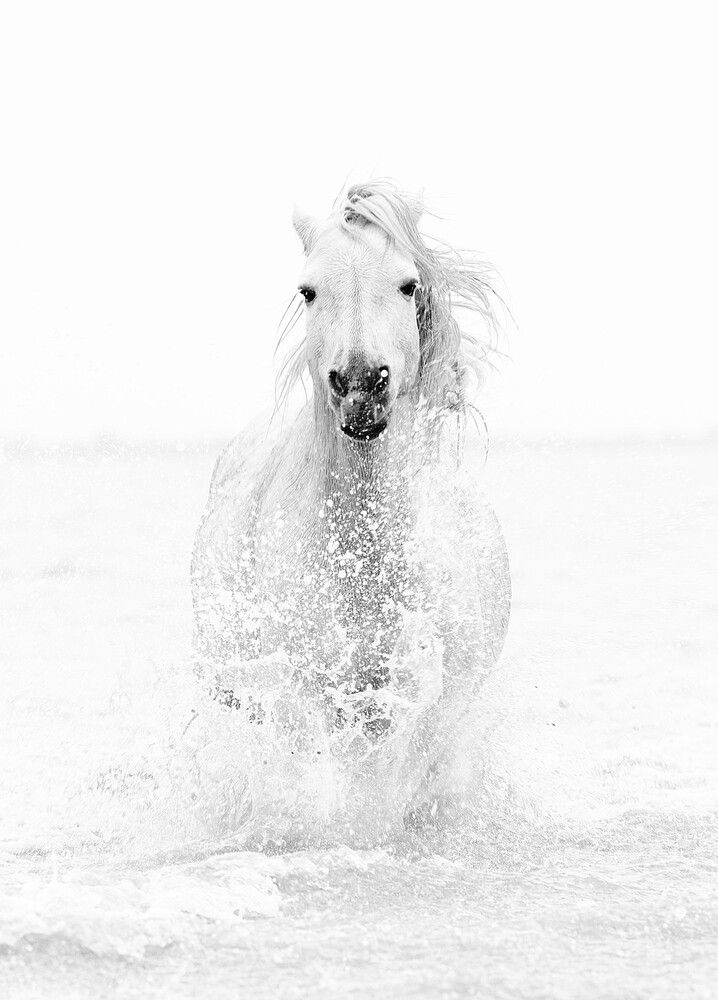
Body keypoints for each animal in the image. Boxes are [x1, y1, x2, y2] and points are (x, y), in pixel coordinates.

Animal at [190, 181, 510, 834]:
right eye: (308, 290)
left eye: (408, 283)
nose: (361, 385)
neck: (363, 562)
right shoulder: (305, 691)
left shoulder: (429, 698)